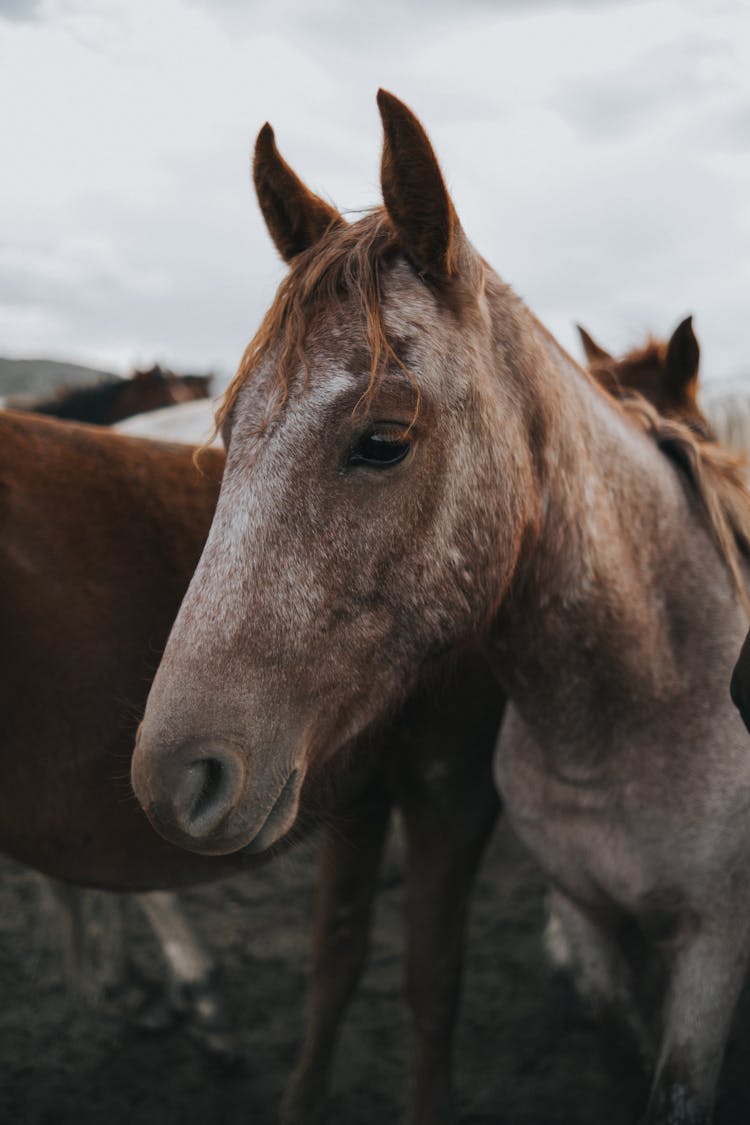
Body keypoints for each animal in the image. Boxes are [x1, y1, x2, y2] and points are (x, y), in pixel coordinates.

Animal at [132, 90, 750, 1125]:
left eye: (384, 440)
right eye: (228, 431)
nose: (175, 777)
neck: (653, 692)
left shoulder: (711, 950)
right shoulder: (592, 921)